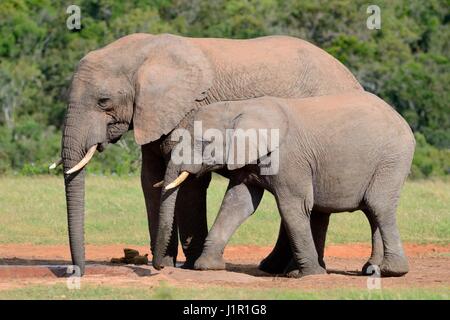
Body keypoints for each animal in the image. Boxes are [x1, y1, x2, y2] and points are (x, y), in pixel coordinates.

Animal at [59, 33, 370, 276]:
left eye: (104, 101)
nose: (77, 271)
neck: (143, 52)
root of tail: (353, 79)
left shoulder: (187, 111)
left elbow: (189, 182)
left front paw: (185, 265)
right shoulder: (154, 114)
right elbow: (151, 179)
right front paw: (169, 262)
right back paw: (273, 267)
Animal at [154, 92, 414, 278]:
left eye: (204, 141)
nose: (162, 267)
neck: (240, 107)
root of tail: (401, 119)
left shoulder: (290, 159)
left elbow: (294, 207)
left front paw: (308, 275)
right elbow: (238, 204)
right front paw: (208, 267)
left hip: (391, 160)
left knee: (379, 206)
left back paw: (391, 272)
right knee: (372, 211)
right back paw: (371, 270)